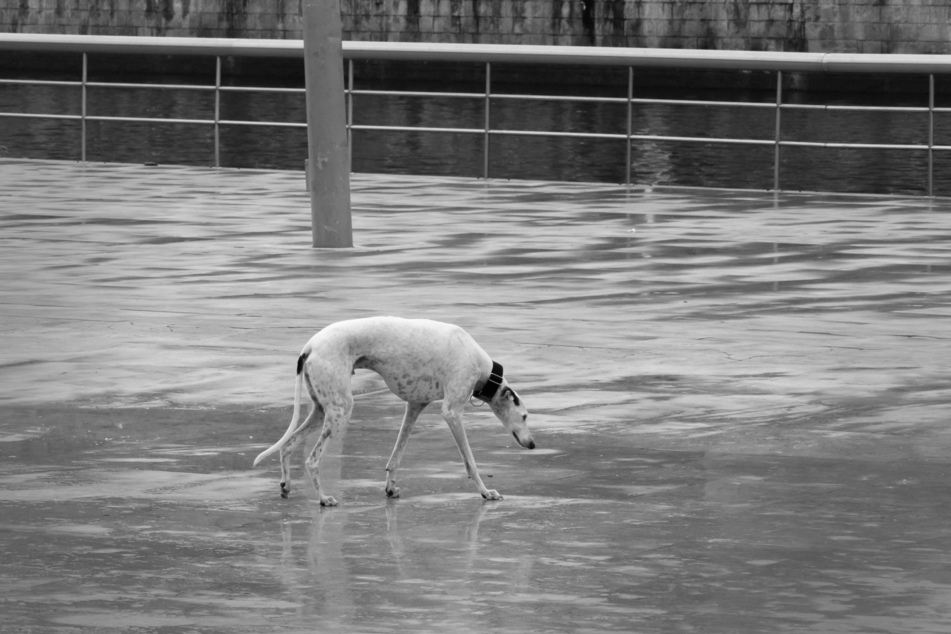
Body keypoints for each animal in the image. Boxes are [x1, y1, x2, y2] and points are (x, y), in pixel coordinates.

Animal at [255, 314, 536, 504]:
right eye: (524, 416)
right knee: (312, 460)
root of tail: (309, 346)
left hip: (323, 409)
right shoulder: (452, 412)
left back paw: (286, 486)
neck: (482, 367)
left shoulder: (415, 406)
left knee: (288, 444)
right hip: (340, 410)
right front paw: (486, 492)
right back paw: (324, 498)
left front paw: (390, 488)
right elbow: (470, 462)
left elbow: (396, 456)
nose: (533, 444)